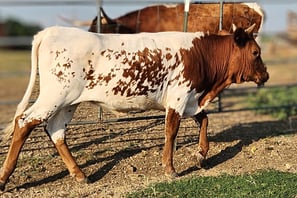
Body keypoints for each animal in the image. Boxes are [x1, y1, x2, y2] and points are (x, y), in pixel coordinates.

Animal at [0, 24, 268, 190]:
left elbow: (204, 119)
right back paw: (4, 177)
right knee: (25, 122)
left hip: (68, 102)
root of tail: (51, 31)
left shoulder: (191, 99)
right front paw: (170, 168)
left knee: (55, 131)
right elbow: (171, 132)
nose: (265, 75)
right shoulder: (179, 97)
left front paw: (201, 155)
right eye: (256, 52)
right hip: (55, 95)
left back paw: (80, 175)